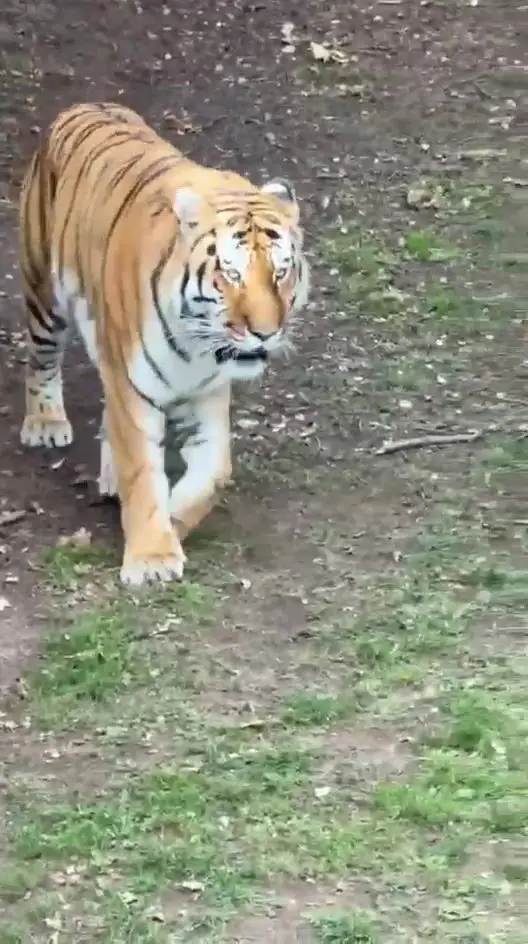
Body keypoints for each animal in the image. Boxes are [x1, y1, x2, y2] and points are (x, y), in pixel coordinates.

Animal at [18, 102, 310, 586]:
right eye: (231, 274)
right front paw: (152, 556)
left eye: (281, 272)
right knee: (41, 360)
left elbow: (212, 475)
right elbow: (142, 473)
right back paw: (45, 422)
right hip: (44, 293)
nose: (265, 332)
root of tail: (88, 104)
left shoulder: (209, 396)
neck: (197, 346)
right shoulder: (133, 393)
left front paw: (170, 524)